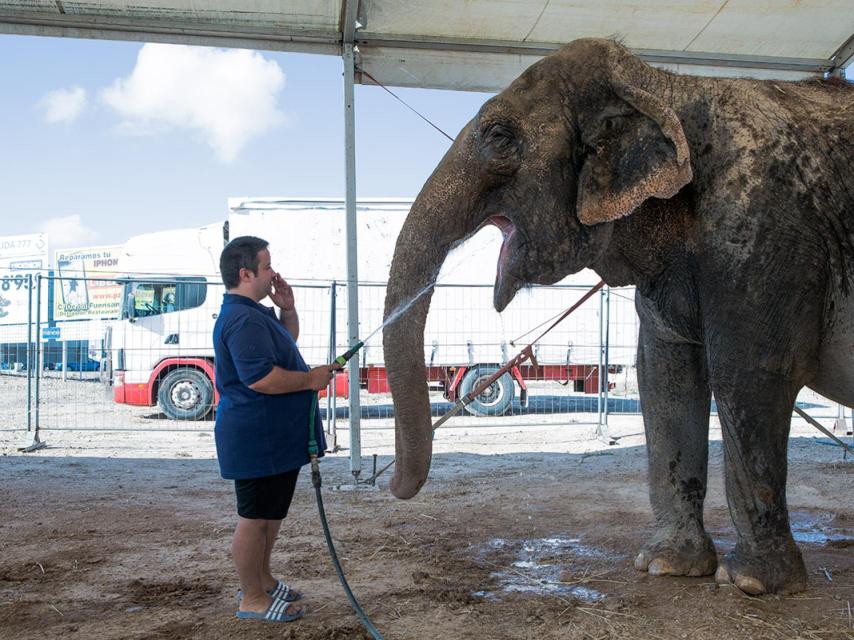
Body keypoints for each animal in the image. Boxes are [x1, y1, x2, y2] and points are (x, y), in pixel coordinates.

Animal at [382, 37, 854, 596]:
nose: (390, 483)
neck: (666, 85)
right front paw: (666, 566)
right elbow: (664, 377)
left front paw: (753, 583)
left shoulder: (762, 233)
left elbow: (748, 374)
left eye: (499, 135)